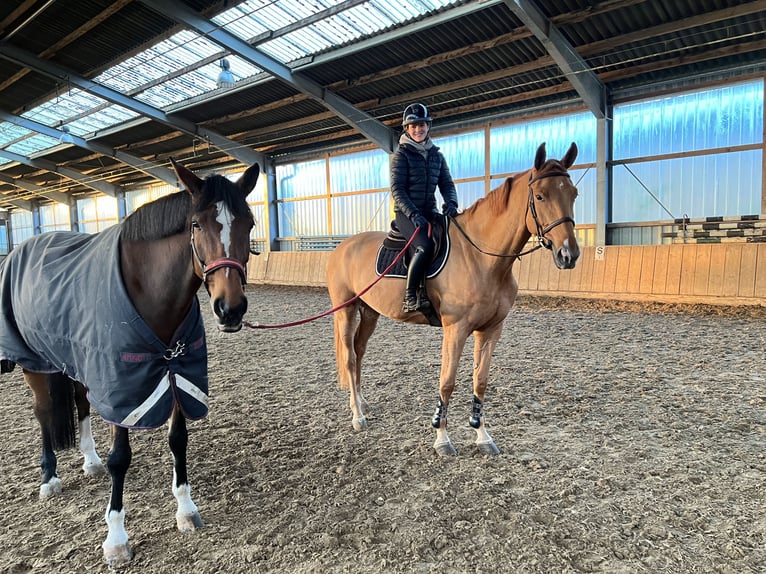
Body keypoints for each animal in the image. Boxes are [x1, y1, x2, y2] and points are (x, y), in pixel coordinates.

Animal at [0, 159, 259, 565]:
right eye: (197, 224)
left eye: (248, 223)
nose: (230, 309)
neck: (149, 291)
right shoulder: (124, 386)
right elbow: (120, 457)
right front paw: (117, 538)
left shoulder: (174, 372)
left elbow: (178, 439)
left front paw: (186, 510)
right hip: (35, 363)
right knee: (43, 412)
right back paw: (49, 479)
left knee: (81, 403)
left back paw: (89, 462)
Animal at [327, 142, 579, 456]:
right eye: (541, 196)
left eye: (573, 194)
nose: (568, 254)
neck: (482, 257)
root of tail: (343, 247)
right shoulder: (455, 329)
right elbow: (447, 382)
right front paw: (442, 438)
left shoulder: (491, 330)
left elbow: (480, 381)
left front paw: (482, 436)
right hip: (346, 311)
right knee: (350, 357)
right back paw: (357, 416)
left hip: (370, 312)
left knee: (359, 352)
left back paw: (361, 403)